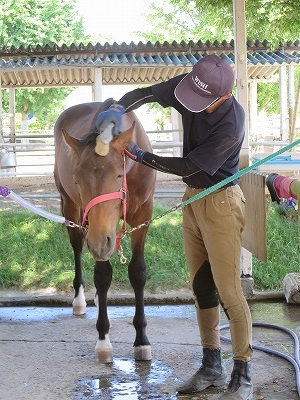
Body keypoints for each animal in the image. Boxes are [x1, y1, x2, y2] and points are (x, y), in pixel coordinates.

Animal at [53, 99, 156, 362]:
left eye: (119, 175)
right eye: (77, 179)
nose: (100, 244)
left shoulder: (143, 216)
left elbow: (138, 272)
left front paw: (142, 340)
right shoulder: (94, 228)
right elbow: (102, 275)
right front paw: (103, 340)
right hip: (71, 208)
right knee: (77, 247)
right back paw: (79, 300)